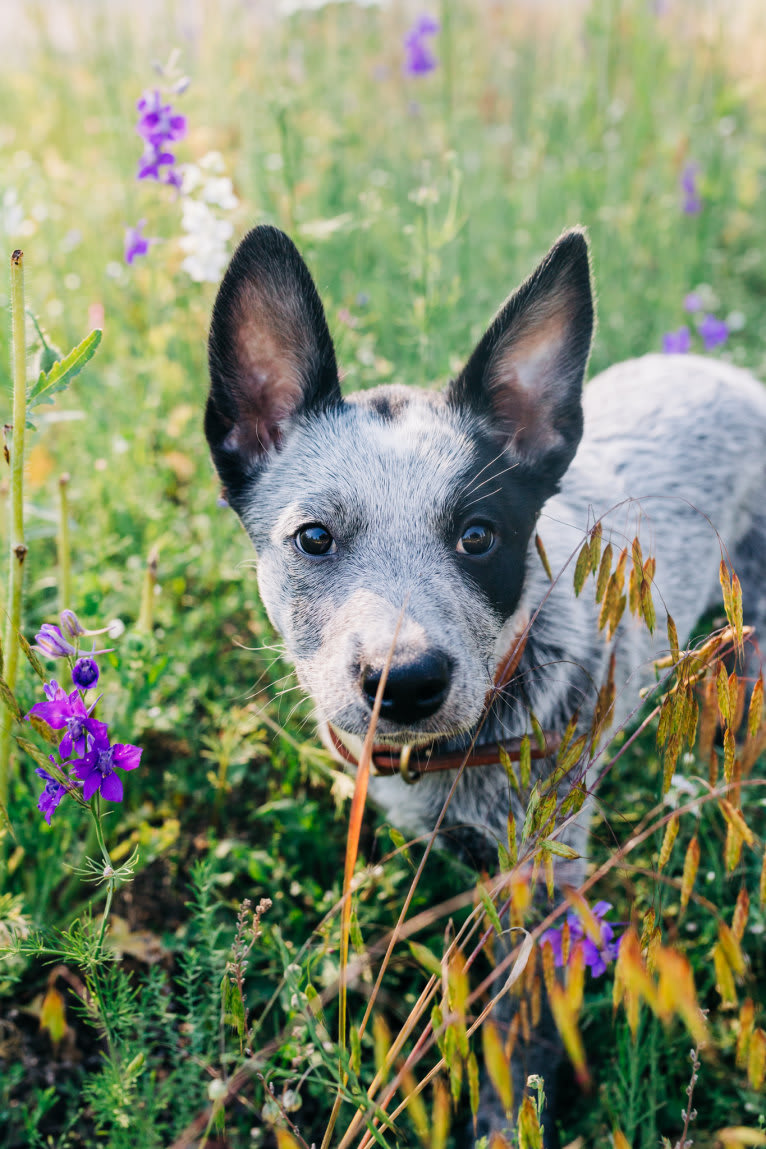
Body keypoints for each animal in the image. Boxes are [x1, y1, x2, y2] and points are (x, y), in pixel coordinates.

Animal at [203, 221, 766, 1139]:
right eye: (314, 536)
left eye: (478, 535)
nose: (403, 681)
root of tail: (732, 373)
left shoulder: (541, 882)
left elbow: (516, 1030)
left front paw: (506, 1122)